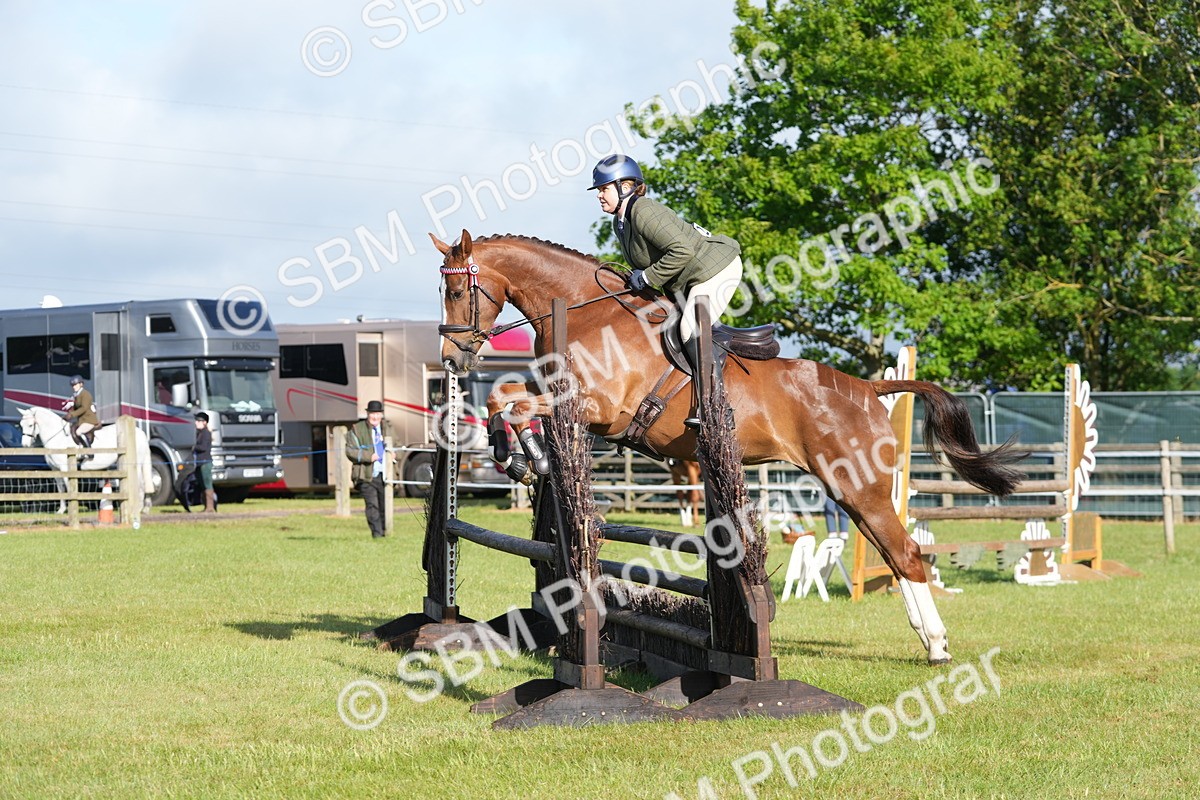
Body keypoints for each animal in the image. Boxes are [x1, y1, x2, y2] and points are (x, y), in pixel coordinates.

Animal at [18, 406, 155, 514]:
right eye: (21, 425)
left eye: (30, 425)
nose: (25, 445)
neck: (58, 437)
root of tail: (140, 432)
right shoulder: (55, 470)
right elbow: (61, 489)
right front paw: (61, 510)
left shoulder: (65, 468)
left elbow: (68, 487)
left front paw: (72, 507)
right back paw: (145, 508)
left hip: (136, 465)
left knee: (141, 485)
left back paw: (139, 508)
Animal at [432, 230, 1025, 665]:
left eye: (458, 292)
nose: (453, 360)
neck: (583, 310)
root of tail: (866, 387)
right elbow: (504, 395)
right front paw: (519, 457)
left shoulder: (599, 407)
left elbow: (512, 400)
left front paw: (524, 457)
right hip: (851, 490)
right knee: (894, 556)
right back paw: (929, 641)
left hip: (859, 487)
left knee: (905, 554)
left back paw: (938, 648)